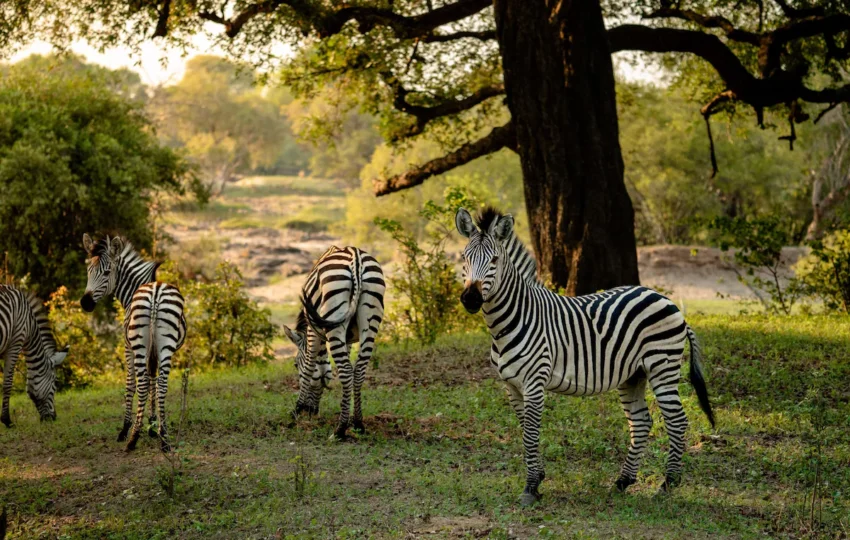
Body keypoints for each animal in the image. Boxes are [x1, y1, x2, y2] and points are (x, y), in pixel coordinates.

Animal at [0, 285, 68, 426]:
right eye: (55, 383)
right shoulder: (15, 343)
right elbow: (7, 383)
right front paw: (6, 420)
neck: (30, 326)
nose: (53, 418)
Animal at [80, 234, 187, 452]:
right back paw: (164, 439)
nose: (85, 303)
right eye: (88, 271)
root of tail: (155, 293)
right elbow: (154, 380)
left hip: (138, 345)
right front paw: (154, 425)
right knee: (161, 384)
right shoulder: (154, 351)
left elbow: (131, 383)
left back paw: (133, 438)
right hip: (166, 345)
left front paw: (125, 428)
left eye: (107, 272)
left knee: (142, 382)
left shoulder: (127, 346)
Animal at [283, 246, 385, 439]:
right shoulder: (348, 339)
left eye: (294, 365)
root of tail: (356, 258)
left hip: (334, 312)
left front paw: (296, 410)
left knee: (345, 371)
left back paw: (340, 430)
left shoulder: (312, 332)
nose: (311, 412)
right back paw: (358, 423)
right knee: (358, 371)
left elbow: (309, 367)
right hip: (370, 319)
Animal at [455, 207, 715, 506]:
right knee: (640, 422)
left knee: (677, 421)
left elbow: (531, 433)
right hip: (633, 375)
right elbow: (525, 431)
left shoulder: (534, 383)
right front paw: (537, 478)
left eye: (494, 260)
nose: (471, 299)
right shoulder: (511, 386)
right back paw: (623, 481)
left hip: (663, 368)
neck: (511, 320)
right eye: (465, 258)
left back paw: (668, 484)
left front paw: (530, 487)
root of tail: (667, 301)